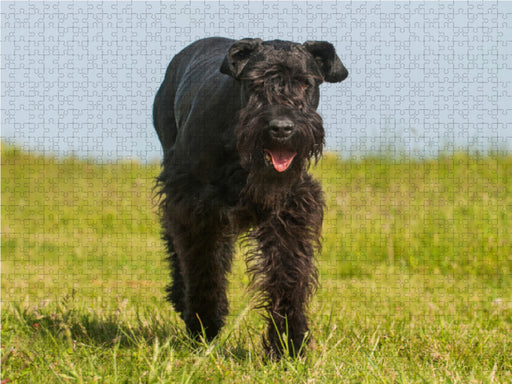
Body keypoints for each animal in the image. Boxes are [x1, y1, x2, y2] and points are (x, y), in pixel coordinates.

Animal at [153, 37, 348, 358]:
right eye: (256, 82)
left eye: (305, 83)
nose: (282, 128)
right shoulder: (194, 205)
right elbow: (202, 267)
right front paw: (204, 326)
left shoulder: (289, 209)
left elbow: (288, 273)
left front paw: (289, 343)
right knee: (178, 247)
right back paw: (185, 301)